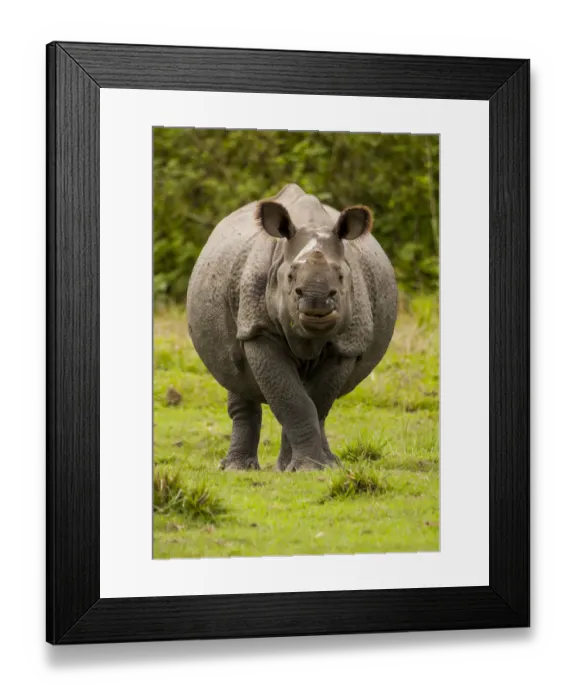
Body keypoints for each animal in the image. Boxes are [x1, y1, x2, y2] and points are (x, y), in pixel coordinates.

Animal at [186, 184, 398, 472]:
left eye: (342, 277)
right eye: (289, 277)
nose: (316, 301)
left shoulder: (348, 343)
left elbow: (313, 401)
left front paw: (304, 468)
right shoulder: (258, 329)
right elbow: (293, 399)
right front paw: (304, 468)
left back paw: (328, 464)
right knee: (234, 376)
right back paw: (236, 469)